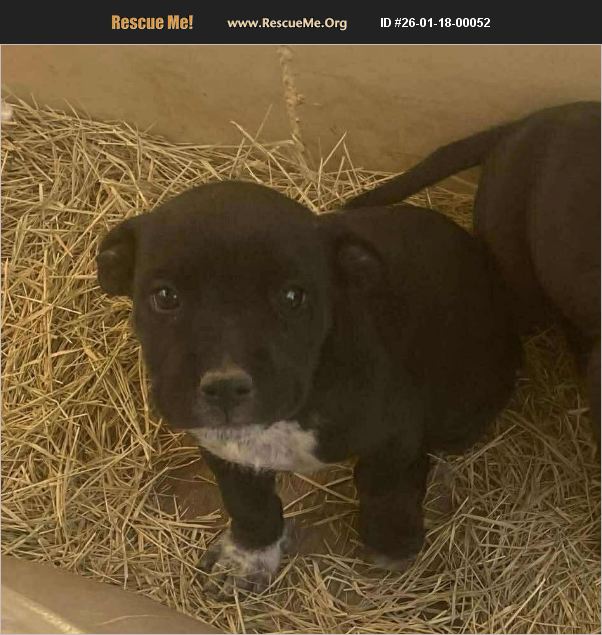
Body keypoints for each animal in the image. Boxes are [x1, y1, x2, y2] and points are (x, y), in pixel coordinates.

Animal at [97, 181, 521, 592]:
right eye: (165, 296)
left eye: (292, 297)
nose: (226, 387)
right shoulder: (225, 451)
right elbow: (250, 505)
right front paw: (248, 557)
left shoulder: (395, 432)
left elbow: (382, 484)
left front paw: (391, 539)